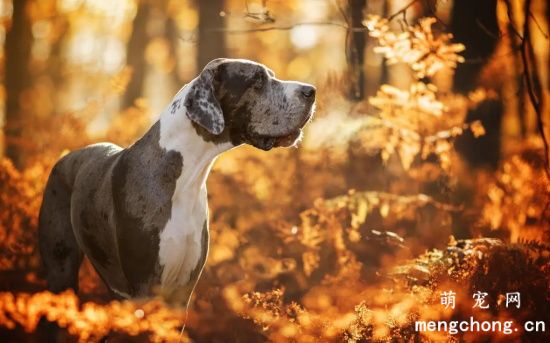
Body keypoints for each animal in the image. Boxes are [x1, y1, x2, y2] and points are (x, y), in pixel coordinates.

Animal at [37, 57, 314, 308]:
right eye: (257, 81)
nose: (311, 91)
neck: (186, 179)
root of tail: (65, 157)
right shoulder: (144, 287)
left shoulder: (183, 292)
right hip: (60, 268)